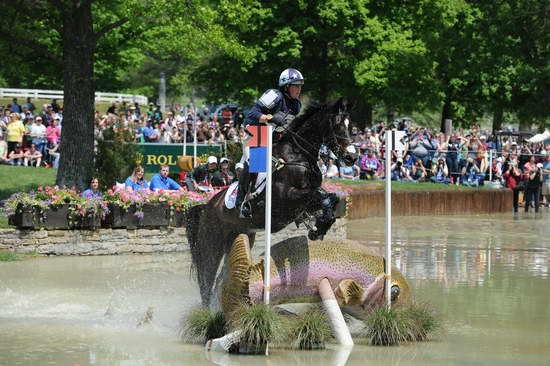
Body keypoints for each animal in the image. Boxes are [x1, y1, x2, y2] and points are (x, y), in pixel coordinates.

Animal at [187, 98, 354, 306]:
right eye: (338, 124)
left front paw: (319, 228)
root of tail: (206, 207)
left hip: (239, 237)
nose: (352, 157)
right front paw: (318, 226)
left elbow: (329, 197)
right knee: (206, 280)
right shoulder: (286, 200)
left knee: (220, 279)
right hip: (212, 243)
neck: (298, 156)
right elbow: (319, 195)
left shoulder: (304, 201)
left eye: (351, 125)